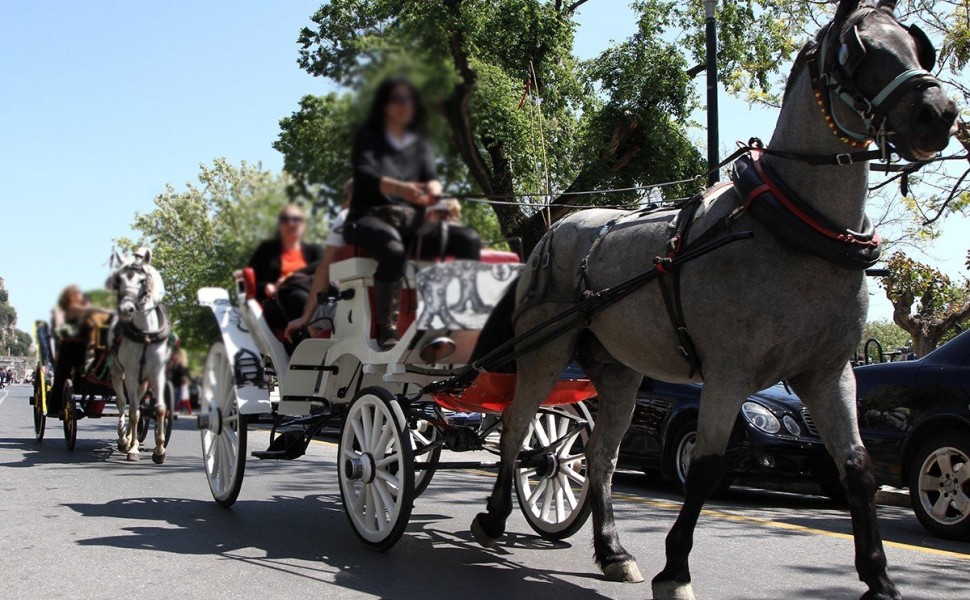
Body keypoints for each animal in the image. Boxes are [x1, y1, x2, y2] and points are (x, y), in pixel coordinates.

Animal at [108, 248, 172, 464]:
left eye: (142, 280)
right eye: (119, 280)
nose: (126, 309)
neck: (145, 333)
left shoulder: (157, 373)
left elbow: (160, 409)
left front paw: (159, 450)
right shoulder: (131, 374)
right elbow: (134, 413)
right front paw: (133, 448)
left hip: (143, 381)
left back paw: (128, 438)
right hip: (118, 373)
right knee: (122, 404)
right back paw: (123, 439)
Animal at [468, 2, 952, 596]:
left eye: (916, 46)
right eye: (857, 51)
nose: (939, 112)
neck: (792, 228)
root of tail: (554, 232)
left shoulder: (830, 373)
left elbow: (858, 469)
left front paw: (880, 579)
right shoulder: (728, 373)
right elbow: (704, 467)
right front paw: (675, 569)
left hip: (620, 371)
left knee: (601, 456)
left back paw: (611, 550)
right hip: (545, 350)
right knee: (516, 427)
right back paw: (493, 518)